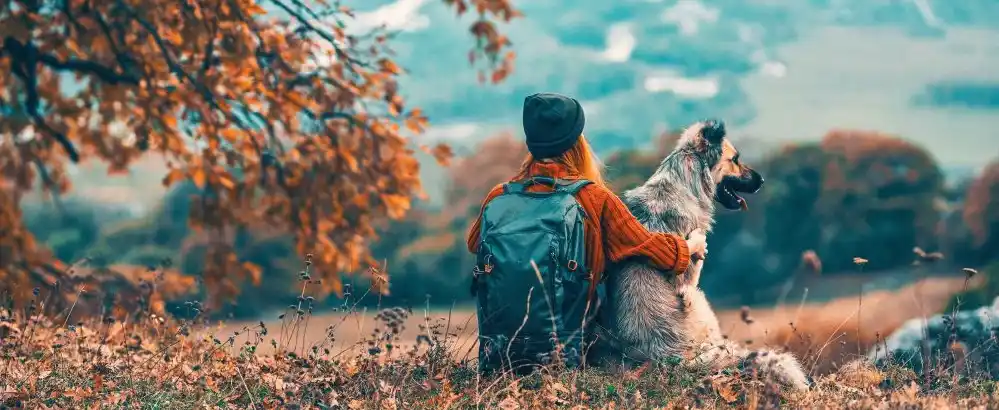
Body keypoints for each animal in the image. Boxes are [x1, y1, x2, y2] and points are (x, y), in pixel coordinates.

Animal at [592, 118, 812, 390]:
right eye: (735, 159)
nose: (762, 181)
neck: (683, 184)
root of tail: (667, 356)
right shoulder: (690, 276)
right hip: (697, 297)